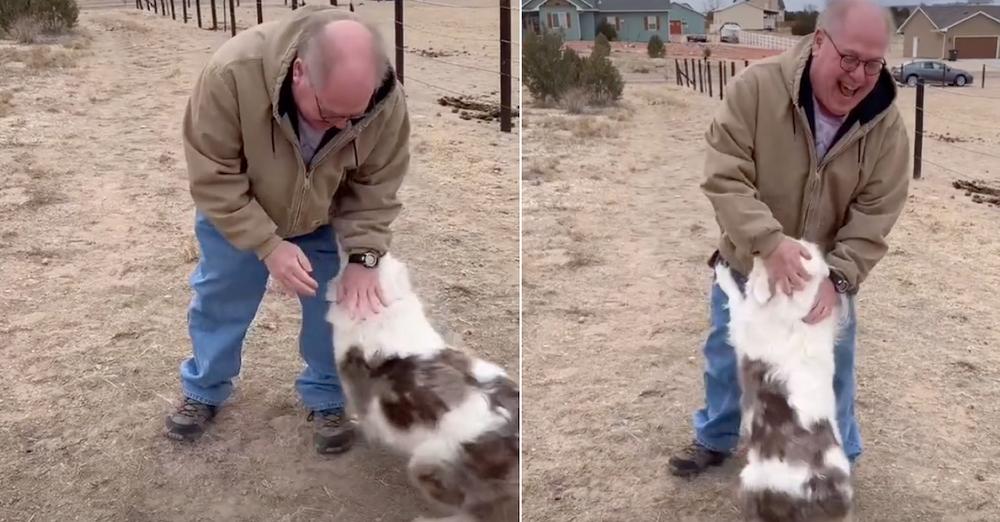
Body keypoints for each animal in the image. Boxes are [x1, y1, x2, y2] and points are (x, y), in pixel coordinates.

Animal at [716, 239, 856, 520]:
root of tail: (822, 490)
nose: (758, 251)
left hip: (753, 479)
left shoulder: (743, 328)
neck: (798, 311)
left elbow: (736, 298)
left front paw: (722, 273)